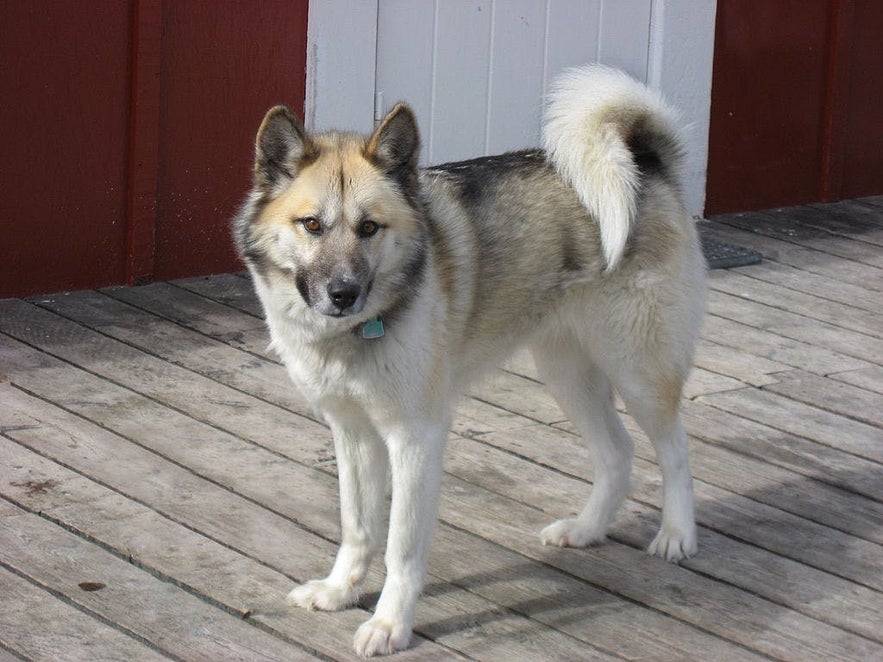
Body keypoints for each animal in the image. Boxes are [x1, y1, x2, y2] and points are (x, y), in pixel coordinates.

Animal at [233, 66, 704, 660]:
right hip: (565, 373)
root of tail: (646, 163)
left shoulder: (416, 439)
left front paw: (390, 624)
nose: (343, 294)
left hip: (638, 370)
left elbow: (401, 547)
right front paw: (341, 591)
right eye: (311, 225)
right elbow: (358, 526)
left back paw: (677, 535)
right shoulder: (354, 435)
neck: (360, 329)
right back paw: (585, 529)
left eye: (369, 228)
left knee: (676, 451)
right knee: (616, 453)